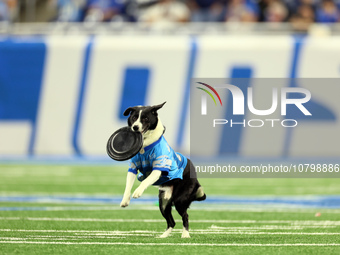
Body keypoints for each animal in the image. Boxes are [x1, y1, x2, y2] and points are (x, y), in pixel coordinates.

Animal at [119, 102, 206, 238]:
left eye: (145, 119)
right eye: (133, 118)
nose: (135, 127)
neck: (145, 145)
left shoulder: (158, 167)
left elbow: (145, 181)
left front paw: (138, 192)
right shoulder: (133, 167)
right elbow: (128, 185)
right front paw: (125, 200)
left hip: (180, 199)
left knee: (185, 216)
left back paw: (185, 235)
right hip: (164, 201)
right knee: (171, 221)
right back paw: (163, 237)